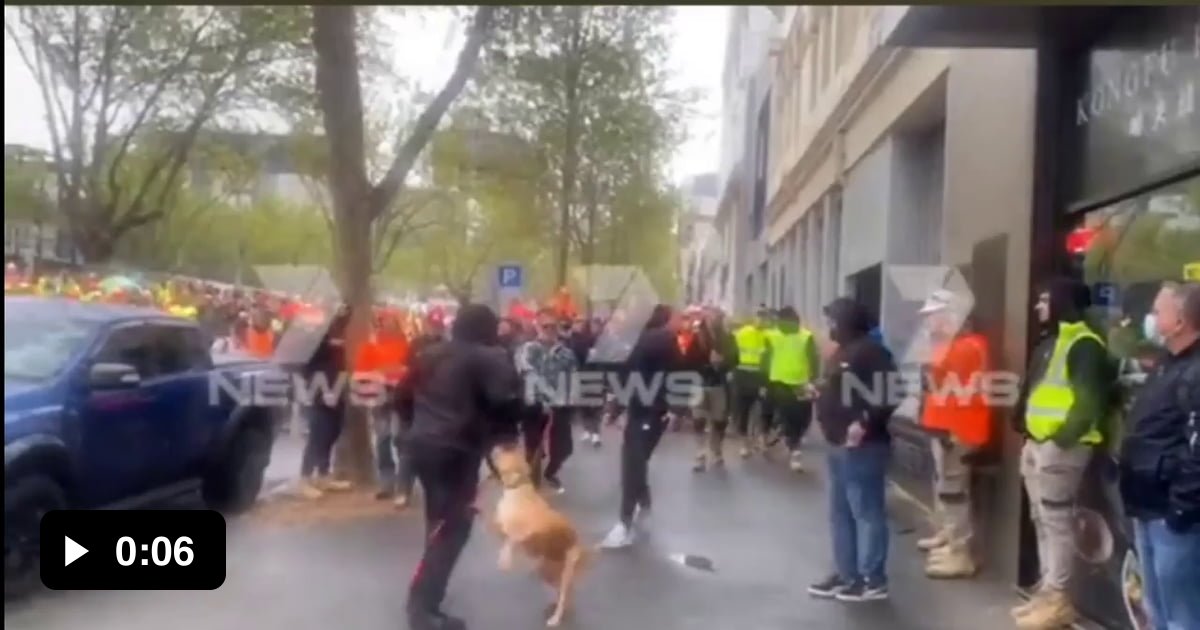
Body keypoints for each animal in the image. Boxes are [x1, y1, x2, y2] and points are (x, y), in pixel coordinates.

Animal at [487, 441, 590, 624]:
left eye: (508, 453)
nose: (501, 444)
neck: (519, 488)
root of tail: (578, 543)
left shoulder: (523, 532)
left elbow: (511, 541)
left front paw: (504, 561)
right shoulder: (503, 527)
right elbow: (504, 538)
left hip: (563, 574)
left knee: (564, 597)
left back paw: (555, 618)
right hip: (550, 571)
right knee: (564, 593)